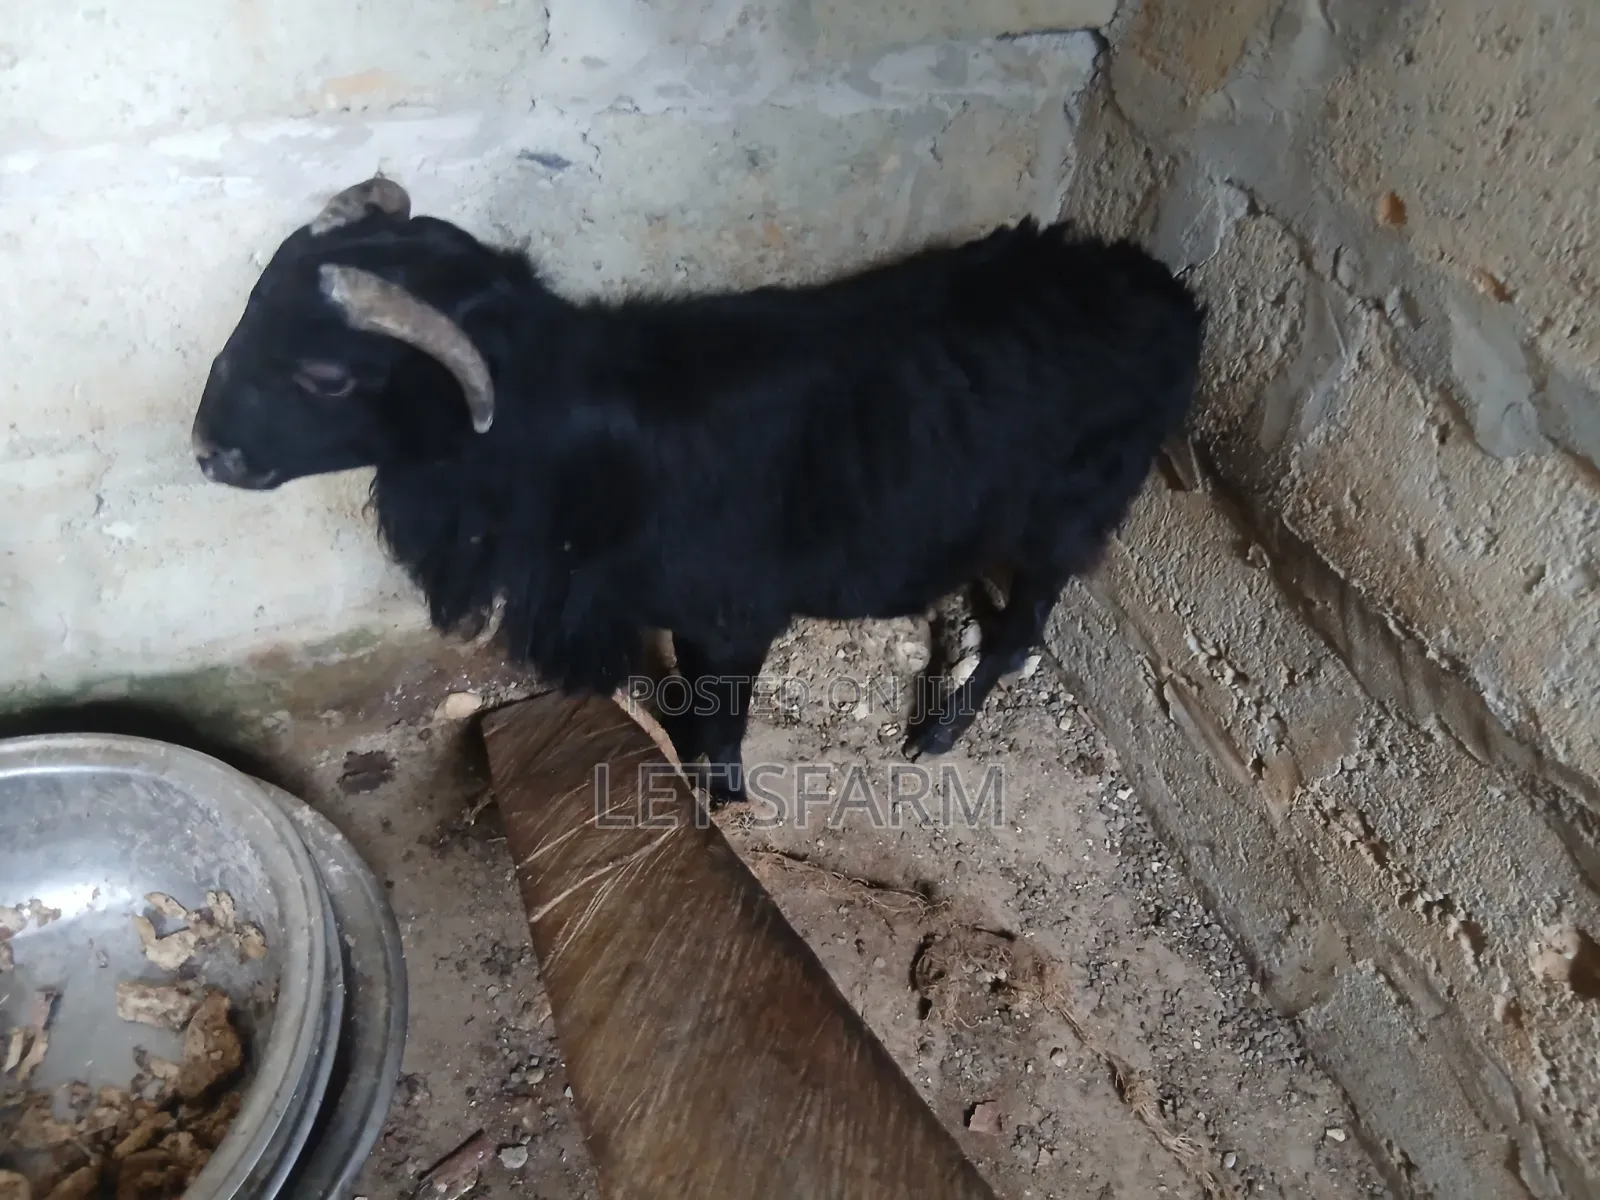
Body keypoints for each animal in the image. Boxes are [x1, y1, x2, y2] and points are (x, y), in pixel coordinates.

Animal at [191, 176, 1204, 805]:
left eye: (325, 376)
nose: (206, 452)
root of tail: (1167, 292)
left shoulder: (734, 612)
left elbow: (723, 720)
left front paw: (723, 798)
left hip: (1072, 506)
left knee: (1025, 628)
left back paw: (939, 733)